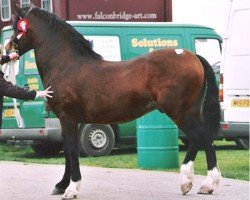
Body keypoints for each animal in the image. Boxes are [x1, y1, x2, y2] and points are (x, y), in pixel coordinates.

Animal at [7, 3, 222, 199]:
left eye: (18, 28)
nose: (8, 49)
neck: (67, 65)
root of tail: (193, 55)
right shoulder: (67, 120)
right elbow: (68, 150)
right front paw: (61, 185)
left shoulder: (68, 118)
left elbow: (71, 150)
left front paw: (71, 188)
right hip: (190, 111)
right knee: (199, 139)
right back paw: (189, 183)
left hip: (179, 112)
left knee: (202, 137)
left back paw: (206, 184)